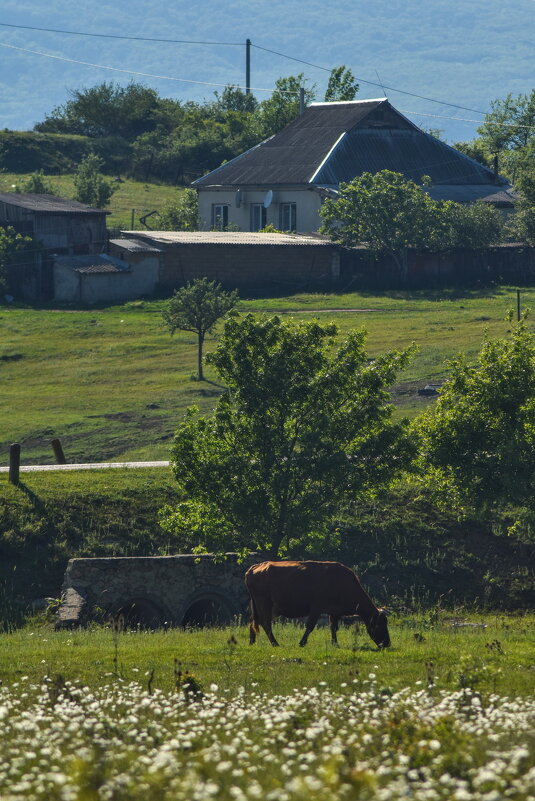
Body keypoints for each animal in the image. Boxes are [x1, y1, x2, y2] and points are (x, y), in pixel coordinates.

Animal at [245, 560, 392, 648]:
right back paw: (275, 643)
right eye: (380, 624)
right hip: (265, 604)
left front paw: (335, 644)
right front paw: (302, 643)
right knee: (265, 623)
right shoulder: (316, 608)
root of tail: (255, 567)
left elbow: (333, 627)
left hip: (262, 606)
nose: (387, 643)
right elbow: (310, 626)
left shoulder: (335, 612)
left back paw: (252, 642)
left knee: (253, 622)